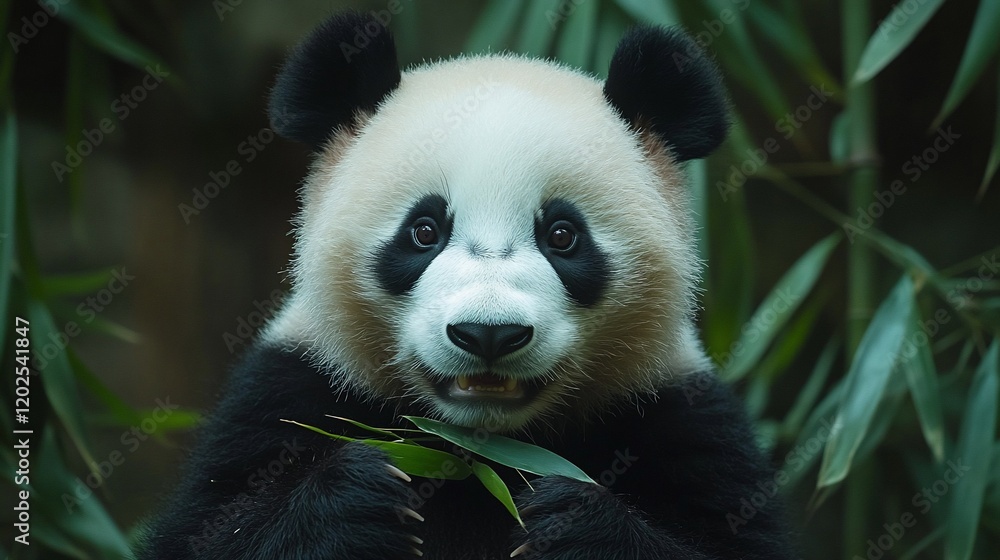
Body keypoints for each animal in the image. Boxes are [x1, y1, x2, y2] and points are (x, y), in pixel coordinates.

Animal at [139, 11, 795, 560]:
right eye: (424, 231)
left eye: (563, 236)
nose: (488, 334)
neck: (479, 451)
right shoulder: (289, 389)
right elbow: (209, 532)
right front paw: (359, 498)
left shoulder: (674, 409)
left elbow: (735, 540)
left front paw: (572, 522)